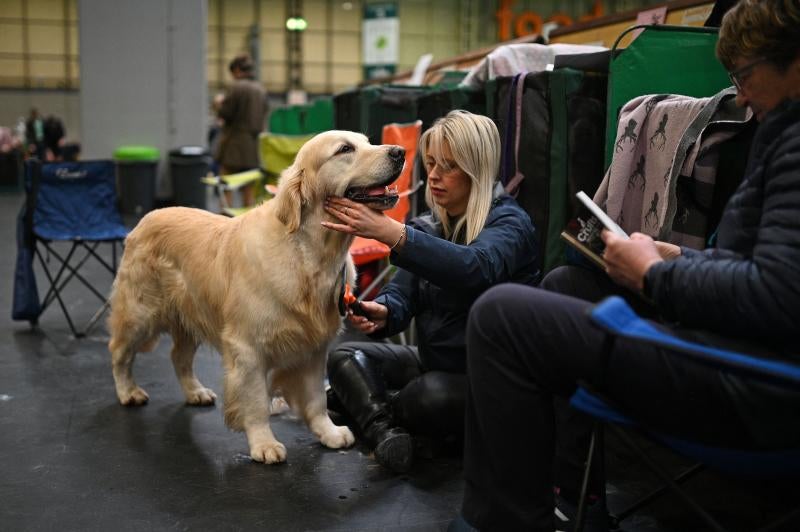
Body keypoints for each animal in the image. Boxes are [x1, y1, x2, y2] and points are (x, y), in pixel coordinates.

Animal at [106, 131, 406, 464]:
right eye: (344, 149)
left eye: (367, 141)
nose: (400, 152)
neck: (310, 254)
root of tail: (147, 218)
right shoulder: (247, 347)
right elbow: (256, 401)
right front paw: (264, 443)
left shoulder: (314, 347)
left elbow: (316, 398)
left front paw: (328, 432)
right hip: (139, 313)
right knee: (119, 352)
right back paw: (127, 391)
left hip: (190, 314)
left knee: (178, 357)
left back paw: (195, 392)